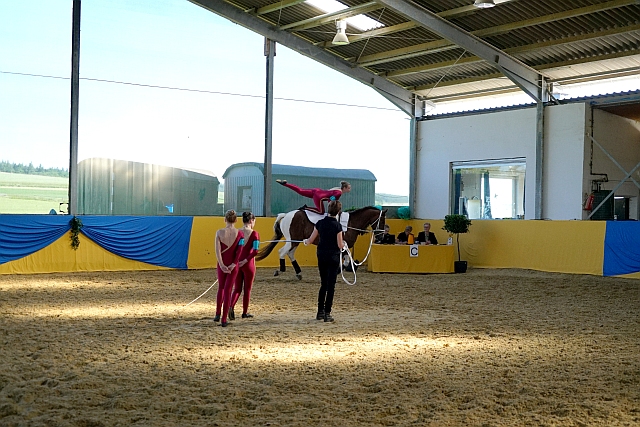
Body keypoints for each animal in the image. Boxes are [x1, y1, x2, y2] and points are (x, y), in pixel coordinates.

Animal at [255, 206, 386, 280]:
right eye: (382, 221)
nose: (381, 237)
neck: (350, 223)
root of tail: (287, 215)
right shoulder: (343, 246)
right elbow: (344, 262)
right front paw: (336, 272)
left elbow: (345, 262)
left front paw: (337, 272)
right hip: (291, 240)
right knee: (282, 252)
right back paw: (280, 270)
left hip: (295, 241)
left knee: (290, 253)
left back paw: (298, 273)